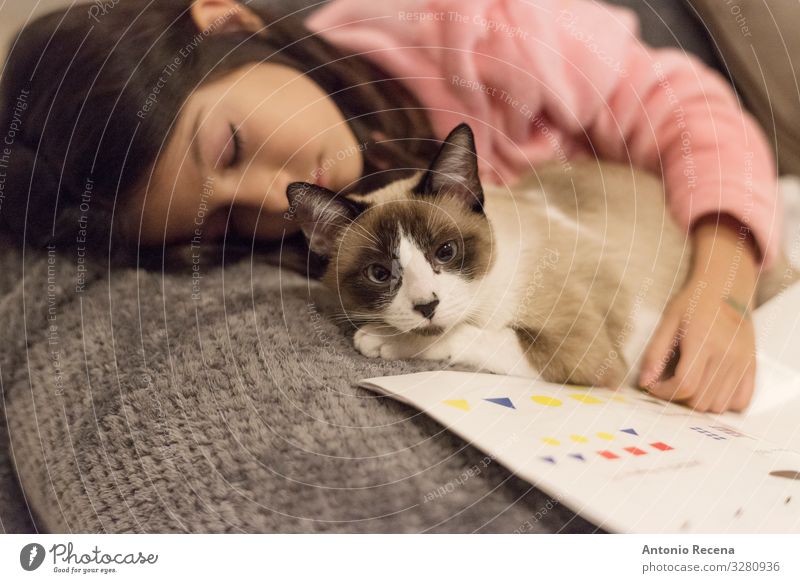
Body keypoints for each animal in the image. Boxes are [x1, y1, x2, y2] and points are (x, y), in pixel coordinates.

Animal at [284, 123, 792, 388]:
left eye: (445, 251)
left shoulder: (585, 356)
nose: (427, 305)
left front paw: (382, 340)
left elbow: (466, 334)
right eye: (379, 273)